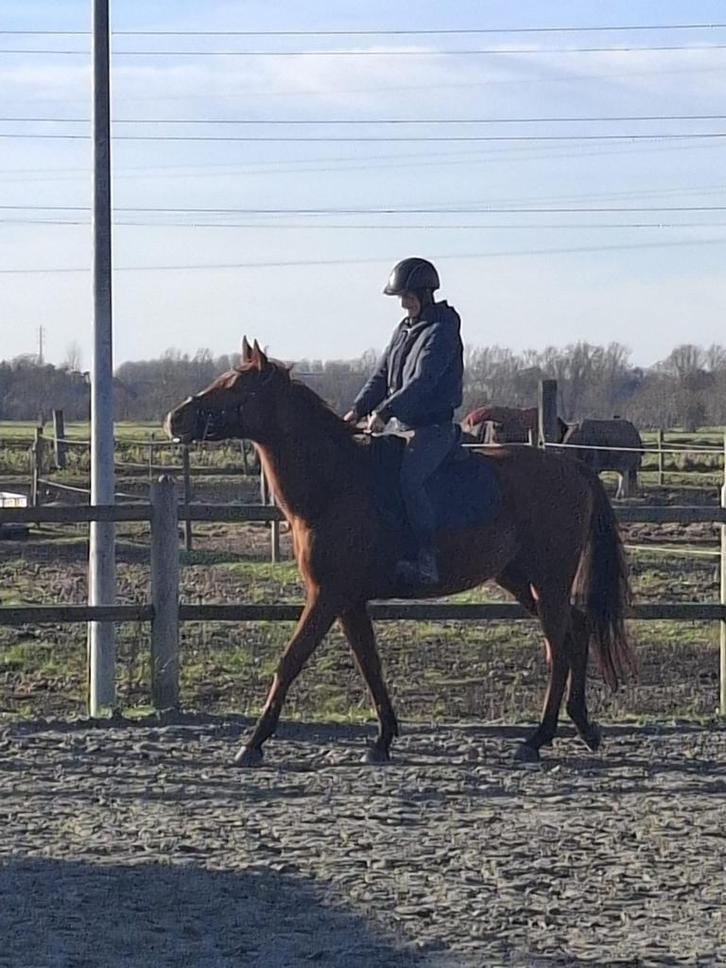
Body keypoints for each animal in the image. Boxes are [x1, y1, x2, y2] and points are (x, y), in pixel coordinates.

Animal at [165, 338, 634, 768]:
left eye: (232, 387)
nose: (175, 418)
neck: (334, 483)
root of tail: (573, 466)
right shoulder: (349, 601)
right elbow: (370, 666)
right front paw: (382, 739)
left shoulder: (326, 596)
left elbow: (290, 661)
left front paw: (254, 742)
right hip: (521, 580)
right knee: (576, 630)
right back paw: (583, 727)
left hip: (548, 581)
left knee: (559, 645)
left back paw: (538, 738)